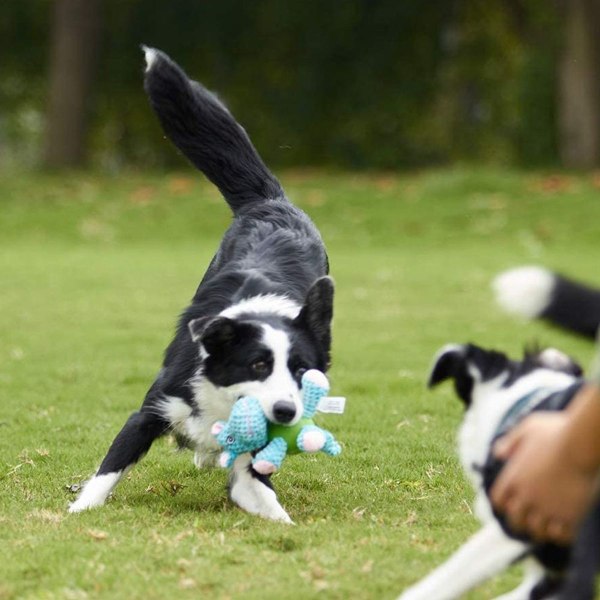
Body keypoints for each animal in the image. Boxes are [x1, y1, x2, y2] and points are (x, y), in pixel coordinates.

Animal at [71, 48, 336, 524]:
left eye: (302, 370)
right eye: (257, 365)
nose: (286, 411)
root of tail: (273, 200)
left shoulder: (253, 458)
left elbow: (260, 494)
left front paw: (289, 526)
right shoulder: (150, 411)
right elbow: (107, 471)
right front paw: (77, 511)